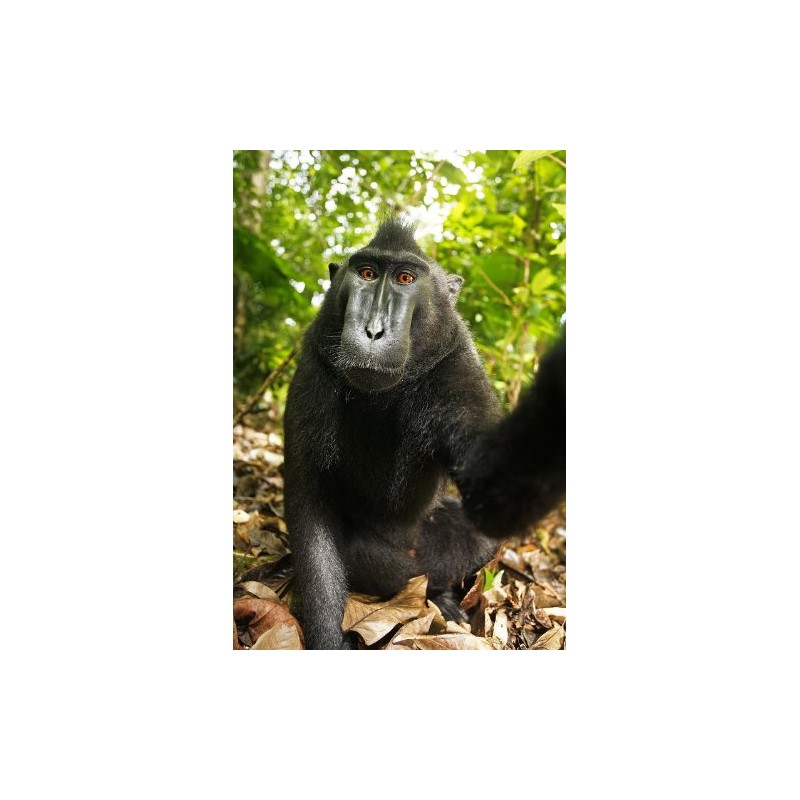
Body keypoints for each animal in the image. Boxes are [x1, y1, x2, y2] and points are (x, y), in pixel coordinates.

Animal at [283, 217, 565, 649]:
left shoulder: (457, 367)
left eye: (404, 278)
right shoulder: (314, 369)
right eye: (367, 274)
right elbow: (309, 505)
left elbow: (493, 495)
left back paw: (444, 597)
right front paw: (327, 640)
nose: (374, 330)